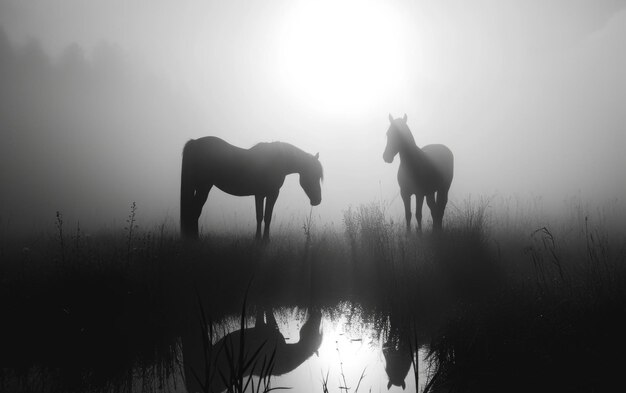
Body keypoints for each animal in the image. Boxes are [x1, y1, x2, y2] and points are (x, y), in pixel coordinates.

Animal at [179, 135, 322, 239]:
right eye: (314, 175)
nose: (317, 200)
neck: (276, 161)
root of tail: (195, 143)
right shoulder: (270, 194)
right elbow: (265, 217)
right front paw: (263, 240)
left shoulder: (261, 194)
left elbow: (261, 217)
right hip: (204, 187)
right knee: (194, 211)